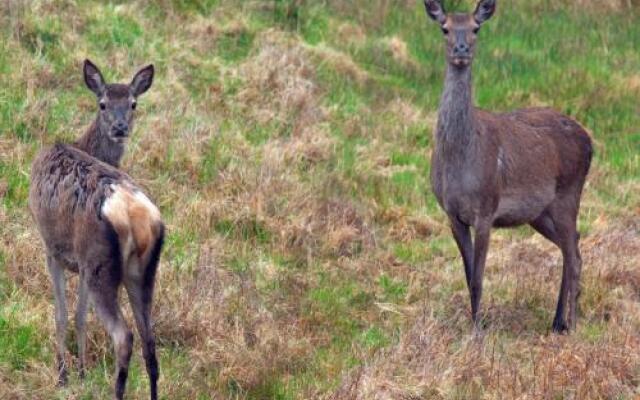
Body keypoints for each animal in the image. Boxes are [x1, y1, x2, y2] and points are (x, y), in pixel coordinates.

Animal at [28, 57, 164, 398]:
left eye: (133, 103)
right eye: (103, 103)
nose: (120, 128)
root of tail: (133, 214)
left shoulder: (53, 249)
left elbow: (62, 315)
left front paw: (63, 375)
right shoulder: (79, 263)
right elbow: (79, 317)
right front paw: (81, 372)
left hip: (99, 260)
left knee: (124, 336)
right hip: (141, 271)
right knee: (150, 341)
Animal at [422, 0, 592, 332]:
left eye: (476, 27)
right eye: (444, 28)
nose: (461, 49)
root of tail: (591, 142)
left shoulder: (486, 209)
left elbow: (478, 278)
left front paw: (478, 331)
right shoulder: (452, 213)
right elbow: (468, 276)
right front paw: (475, 323)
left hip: (569, 194)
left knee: (575, 255)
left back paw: (573, 324)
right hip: (539, 212)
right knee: (571, 248)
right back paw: (557, 321)